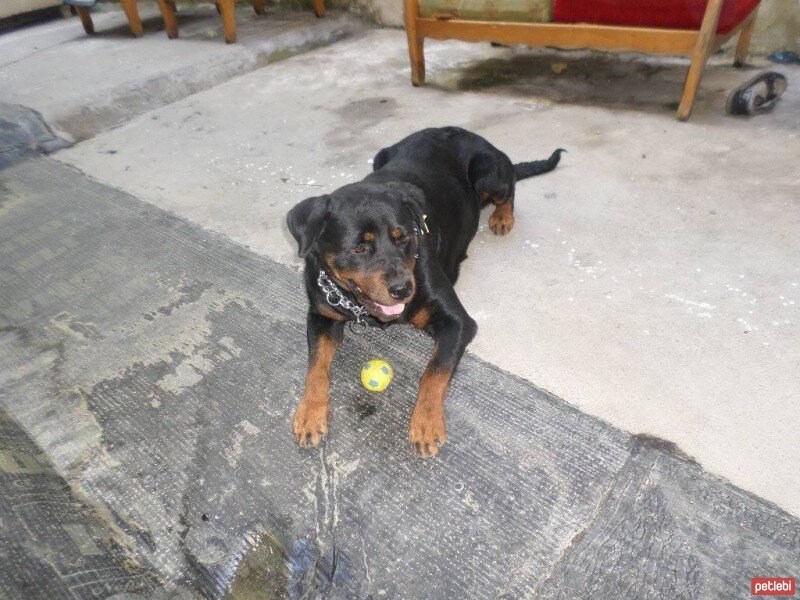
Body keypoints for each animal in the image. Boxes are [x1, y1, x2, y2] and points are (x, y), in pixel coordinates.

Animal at [288, 125, 564, 454]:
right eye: (358, 248)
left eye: (404, 238)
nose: (402, 289)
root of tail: (458, 130)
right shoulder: (320, 316)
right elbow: (315, 366)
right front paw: (309, 412)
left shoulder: (458, 322)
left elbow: (434, 371)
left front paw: (426, 422)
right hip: (381, 155)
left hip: (488, 171)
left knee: (508, 189)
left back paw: (502, 216)